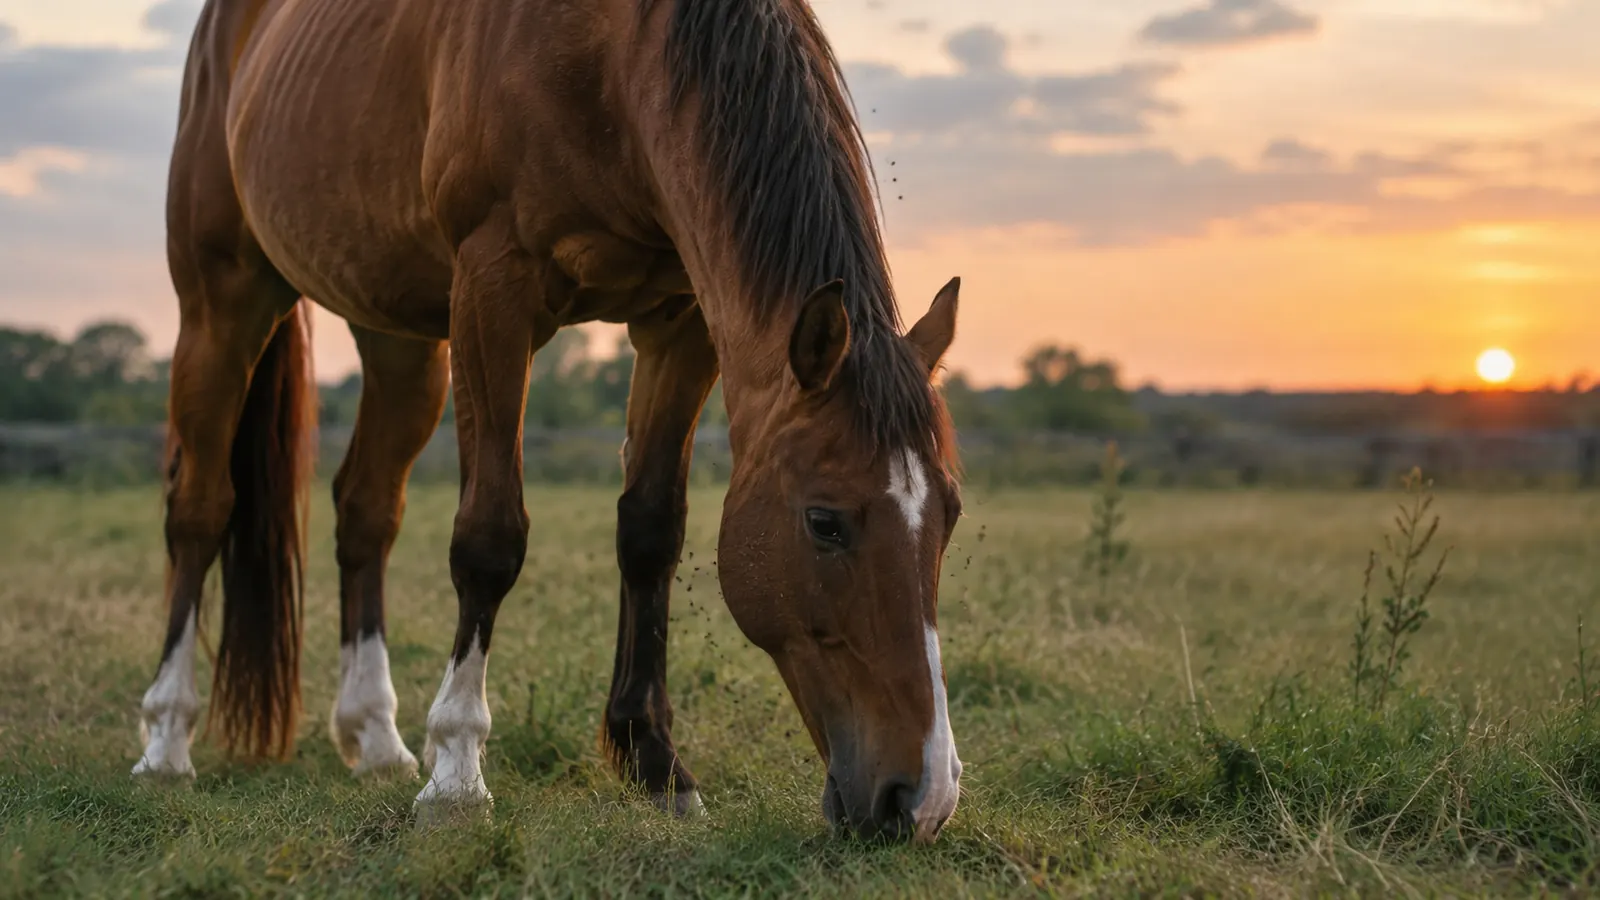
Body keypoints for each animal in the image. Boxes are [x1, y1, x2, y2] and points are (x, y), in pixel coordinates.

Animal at [132, 0, 965, 843]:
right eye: (825, 521)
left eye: (950, 516)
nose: (922, 798)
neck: (611, 55)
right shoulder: (493, 290)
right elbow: (490, 539)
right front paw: (457, 773)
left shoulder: (680, 321)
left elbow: (650, 531)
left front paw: (654, 760)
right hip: (223, 303)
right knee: (199, 508)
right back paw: (167, 740)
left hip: (400, 340)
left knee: (365, 510)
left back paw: (376, 737)